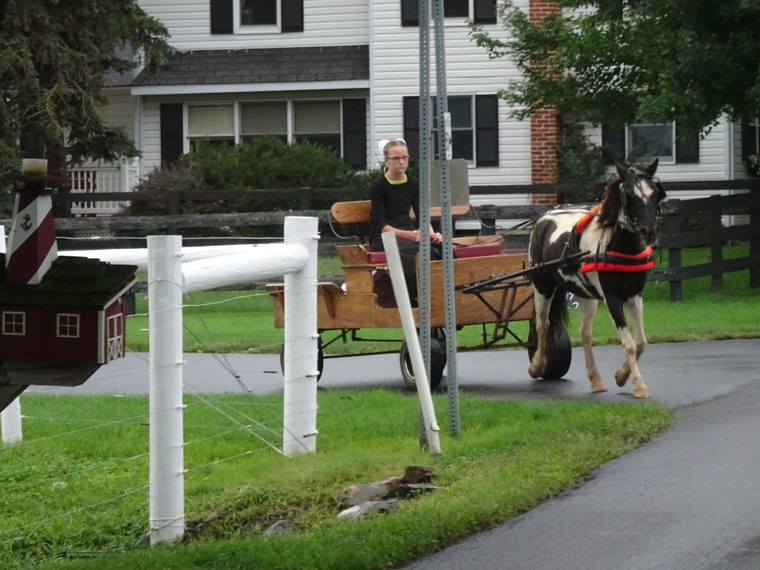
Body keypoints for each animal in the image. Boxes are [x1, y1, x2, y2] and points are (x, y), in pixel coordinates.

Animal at [528, 158, 664, 398]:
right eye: (629, 196)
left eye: (655, 193)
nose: (648, 232)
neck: (617, 246)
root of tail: (544, 218)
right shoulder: (612, 298)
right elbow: (629, 343)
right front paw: (638, 385)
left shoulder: (634, 297)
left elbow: (640, 342)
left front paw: (621, 376)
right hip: (542, 286)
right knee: (543, 325)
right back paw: (537, 365)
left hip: (586, 295)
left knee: (584, 334)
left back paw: (596, 380)